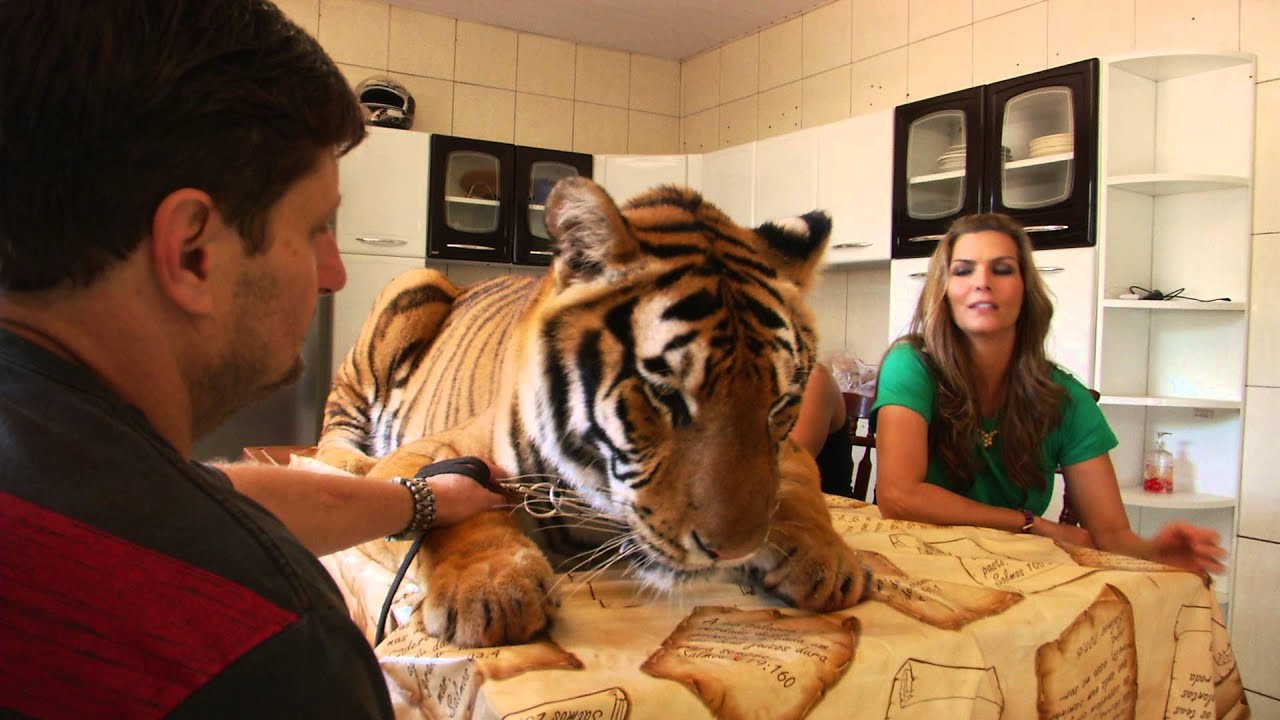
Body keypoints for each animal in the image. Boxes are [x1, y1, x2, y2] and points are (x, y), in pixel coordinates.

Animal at [316, 177, 871, 648]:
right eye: (665, 393)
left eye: (780, 402)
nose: (732, 552)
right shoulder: (430, 454)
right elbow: (451, 506)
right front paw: (492, 589)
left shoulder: (791, 450)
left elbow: (800, 487)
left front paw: (827, 560)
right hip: (414, 283)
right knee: (333, 433)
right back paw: (352, 463)